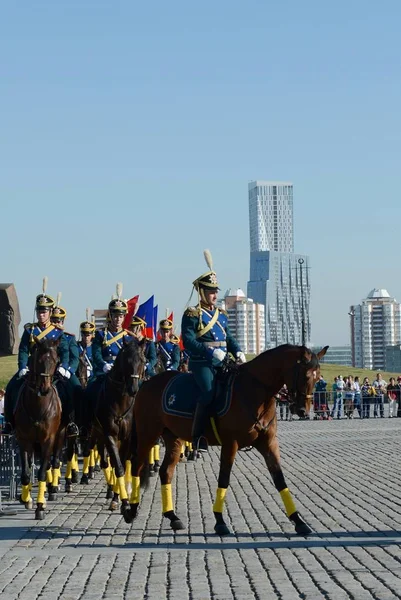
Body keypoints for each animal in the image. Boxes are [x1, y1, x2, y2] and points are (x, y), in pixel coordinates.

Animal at [13, 340, 61, 516]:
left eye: (55, 360)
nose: (45, 388)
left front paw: (40, 505)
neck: (37, 406)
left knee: (54, 462)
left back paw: (52, 489)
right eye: (38, 360)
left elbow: (41, 472)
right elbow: (26, 473)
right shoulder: (23, 440)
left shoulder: (48, 439)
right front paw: (26, 499)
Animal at [81, 338, 145, 516]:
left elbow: (122, 463)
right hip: (96, 435)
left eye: (142, 361)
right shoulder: (110, 435)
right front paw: (120, 501)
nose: (133, 389)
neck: (120, 400)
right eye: (126, 361)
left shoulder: (127, 438)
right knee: (104, 461)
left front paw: (122, 498)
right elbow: (118, 467)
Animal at [124, 344, 328, 536]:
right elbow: (224, 478)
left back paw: (172, 516)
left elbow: (280, 480)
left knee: (166, 471)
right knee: (137, 466)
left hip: (174, 438)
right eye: (306, 376)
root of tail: (147, 383)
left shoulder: (268, 443)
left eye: (318, 377)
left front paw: (298, 520)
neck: (254, 391)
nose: (302, 410)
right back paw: (131, 510)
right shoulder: (231, 444)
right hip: (148, 434)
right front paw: (220, 521)